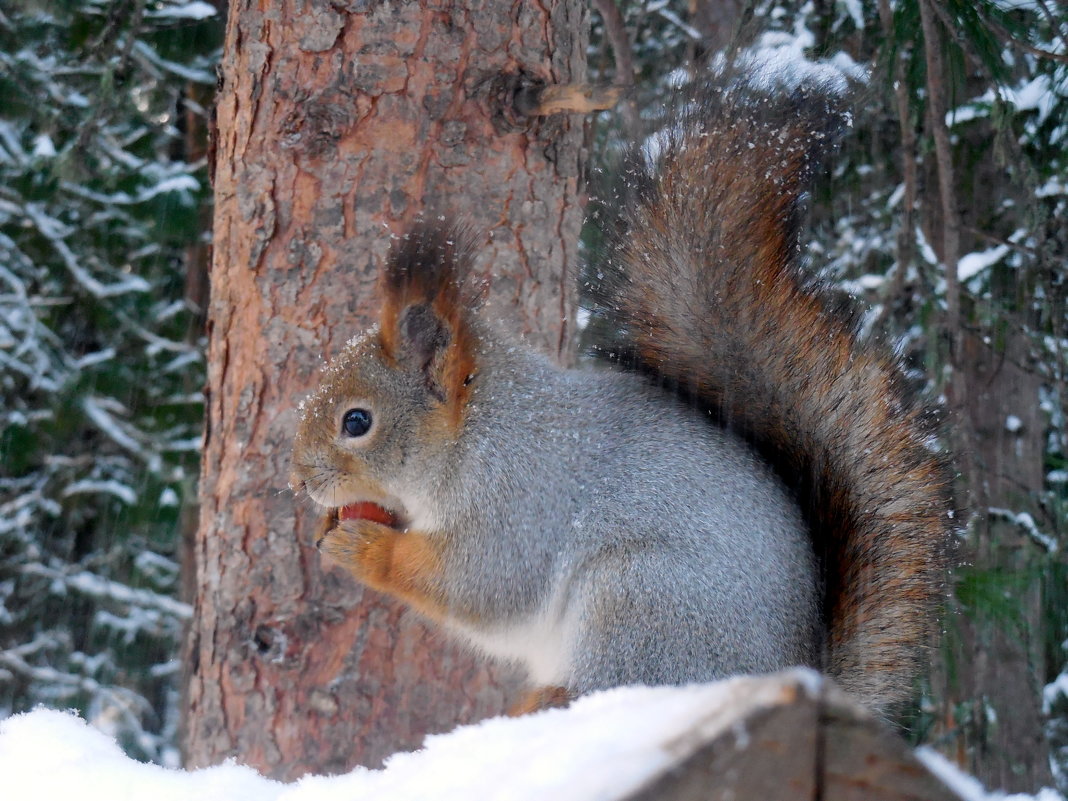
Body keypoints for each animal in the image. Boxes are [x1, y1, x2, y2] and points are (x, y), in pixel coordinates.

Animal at [288, 68, 956, 717]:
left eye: (356, 421)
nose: (298, 479)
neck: (475, 433)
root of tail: (797, 671)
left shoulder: (520, 502)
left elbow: (481, 585)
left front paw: (364, 547)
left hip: (638, 601)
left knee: (608, 685)